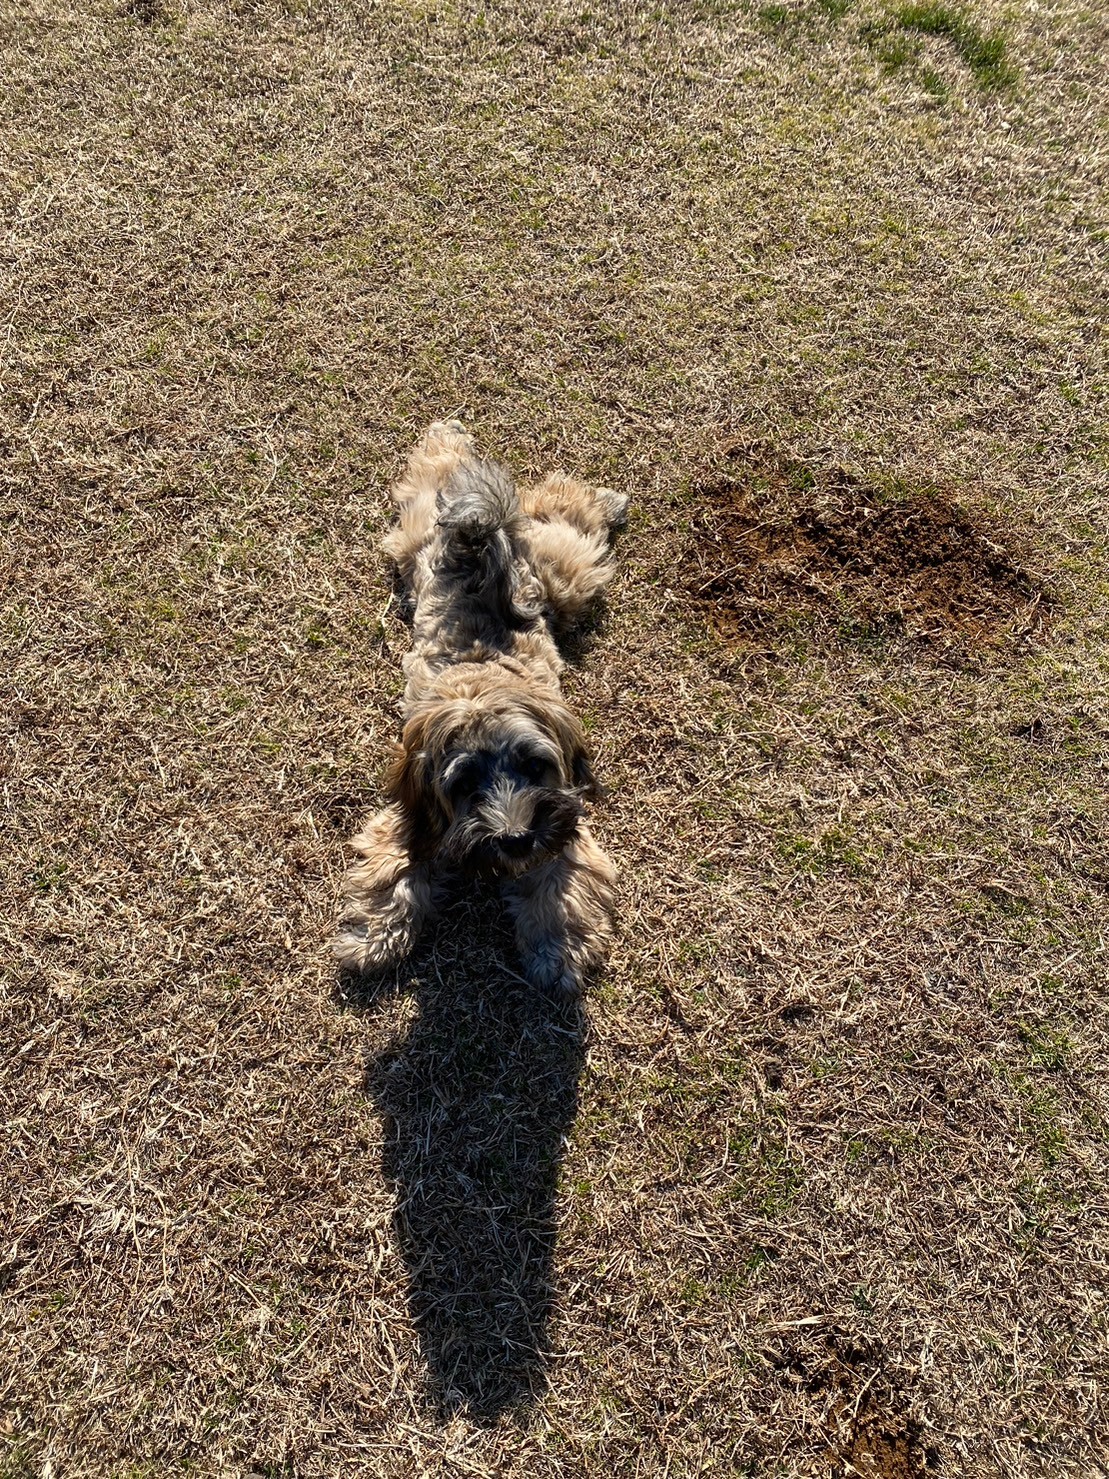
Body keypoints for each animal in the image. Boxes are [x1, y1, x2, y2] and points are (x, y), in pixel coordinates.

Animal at [333, 420, 627, 991]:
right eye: (465, 783)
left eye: (535, 766)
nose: (515, 839)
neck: (480, 686)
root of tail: (476, 538)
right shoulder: (413, 811)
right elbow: (392, 867)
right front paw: (374, 937)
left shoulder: (564, 822)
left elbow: (561, 886)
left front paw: (556, 951)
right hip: (420, 531)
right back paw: (445, 444)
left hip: (562, 573)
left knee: (562, 509)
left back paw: (603, 498)